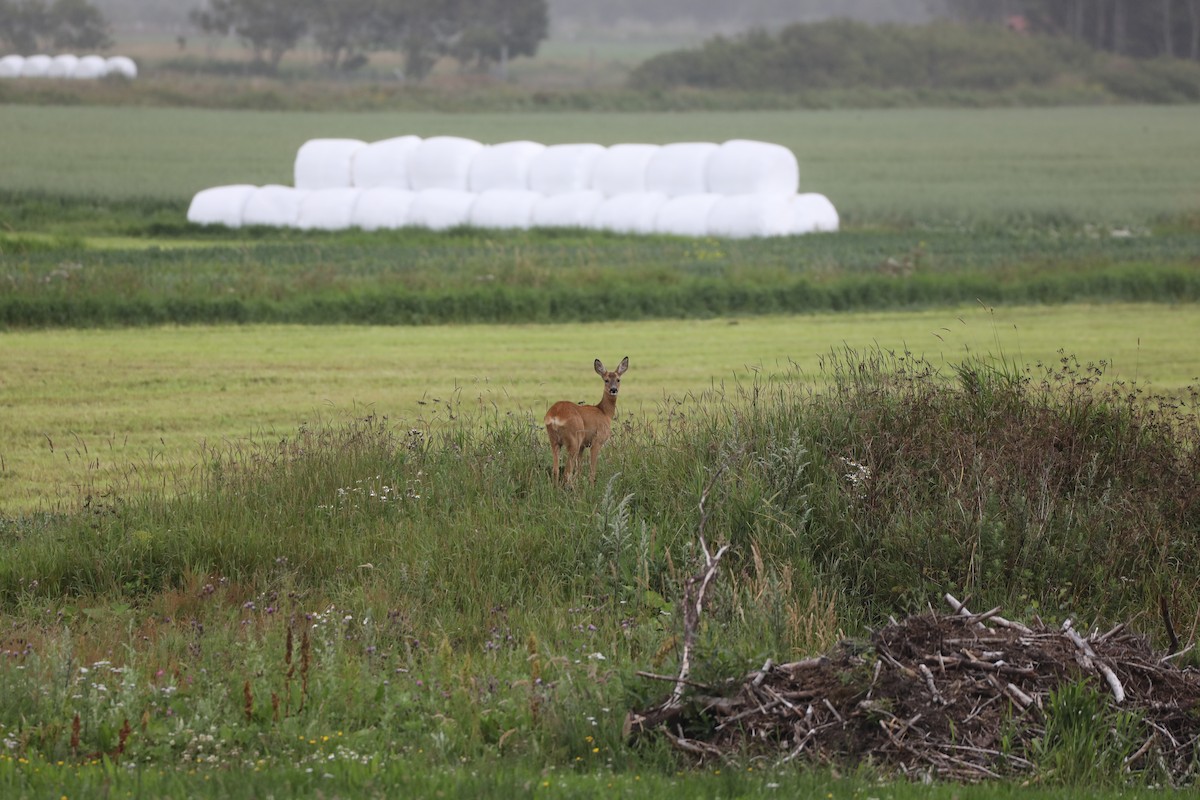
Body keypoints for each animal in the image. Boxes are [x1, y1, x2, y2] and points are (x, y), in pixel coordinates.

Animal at [544, 356, 629, 485]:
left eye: (618, 379)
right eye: (606, 380)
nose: (613, 390)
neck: (604, 412)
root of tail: (555, 415)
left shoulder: (583, 445)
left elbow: (579, 470)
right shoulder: (596, 441)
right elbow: (592, 470)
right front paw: (591, 486)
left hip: (554, 441)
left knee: (556, 470)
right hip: (574, 439)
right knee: (567, 473)